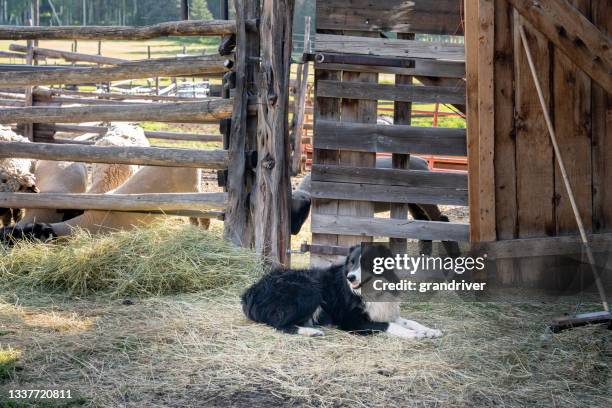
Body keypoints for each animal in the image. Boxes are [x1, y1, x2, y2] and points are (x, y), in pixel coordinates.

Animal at [239, 245, 440, 338]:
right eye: (351, 261)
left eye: (368, 262)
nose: (350, 277)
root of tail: (251, 290)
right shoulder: (352, 321)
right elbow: (390, 325)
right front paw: (414, 334)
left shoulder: (384, 311)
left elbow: (408, 321)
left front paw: (430, 330)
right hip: (309, 289)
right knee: (279, 323)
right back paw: (311, 332)